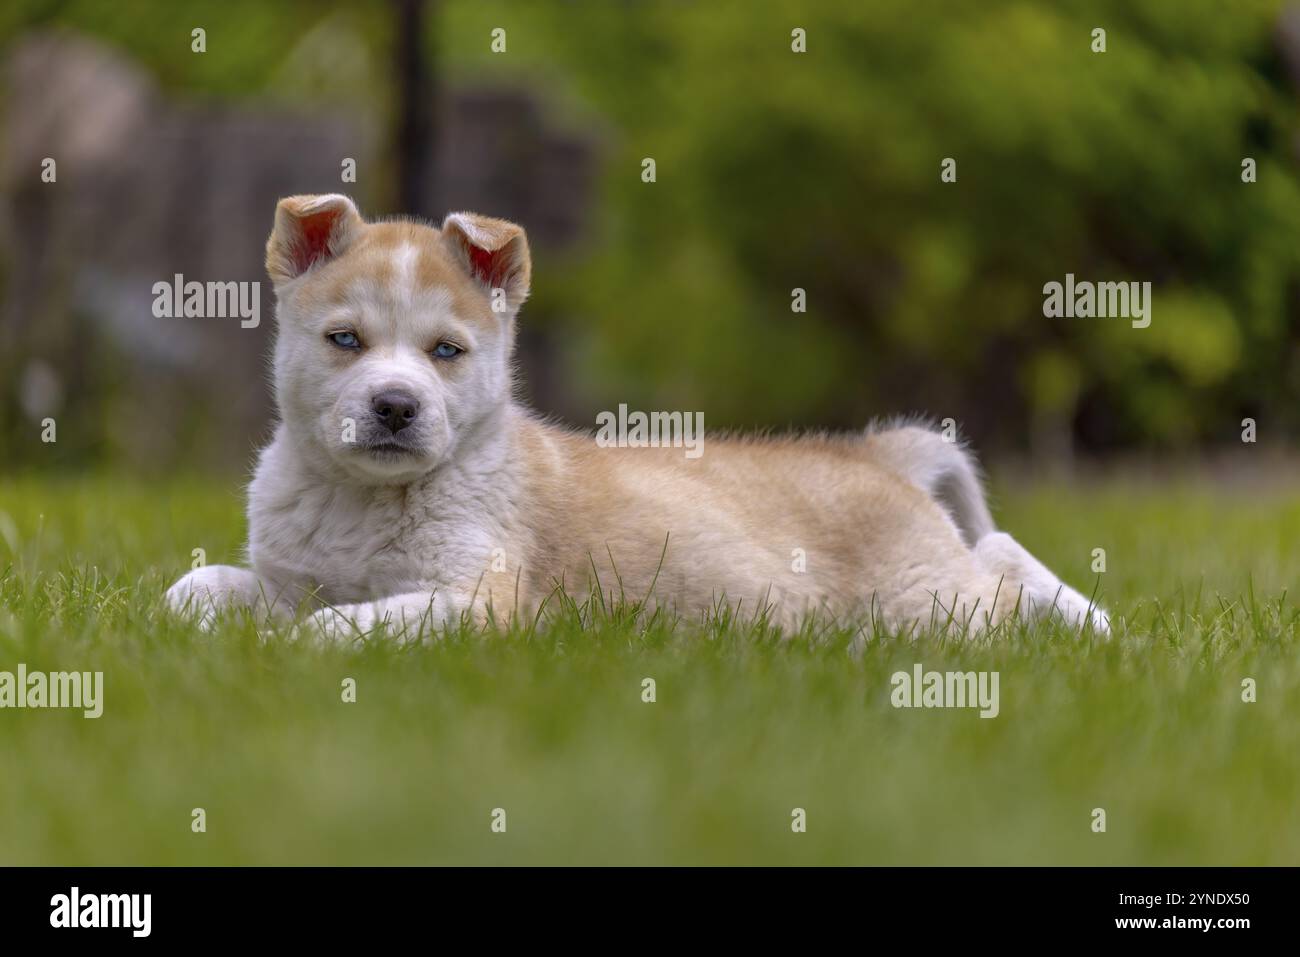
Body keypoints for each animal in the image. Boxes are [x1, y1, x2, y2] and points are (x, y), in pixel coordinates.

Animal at [165, 195, 1107, 639]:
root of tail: (873, 455)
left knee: (1002, 577)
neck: (362, 501)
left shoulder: (481, 600)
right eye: (345, 340)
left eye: (446, 351)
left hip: (921, 603)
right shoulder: (286, 580)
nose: (395, 405)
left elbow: (334, 626)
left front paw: (294, 650)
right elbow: (197, 590)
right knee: (997, 553)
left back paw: (1097, 630)